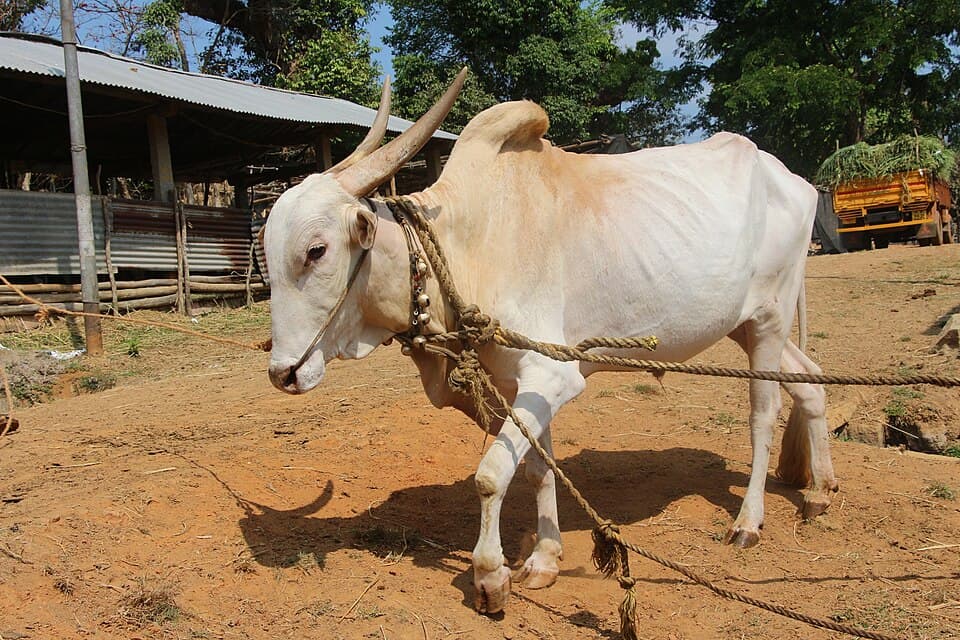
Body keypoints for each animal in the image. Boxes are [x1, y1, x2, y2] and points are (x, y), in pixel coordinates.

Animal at [263, 70, 838, 614]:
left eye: (316, 250)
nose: (282, 373)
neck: (469, 241)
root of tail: (795, 179)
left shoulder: (553, 375)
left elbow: (491, 475)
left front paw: (490, 577)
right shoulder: (519, 384)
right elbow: (538, 466)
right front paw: (544, 558)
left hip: (770, 318)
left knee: (763, 412)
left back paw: (749, 521)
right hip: (747, 323)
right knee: (811, 382)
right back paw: (820, 490)